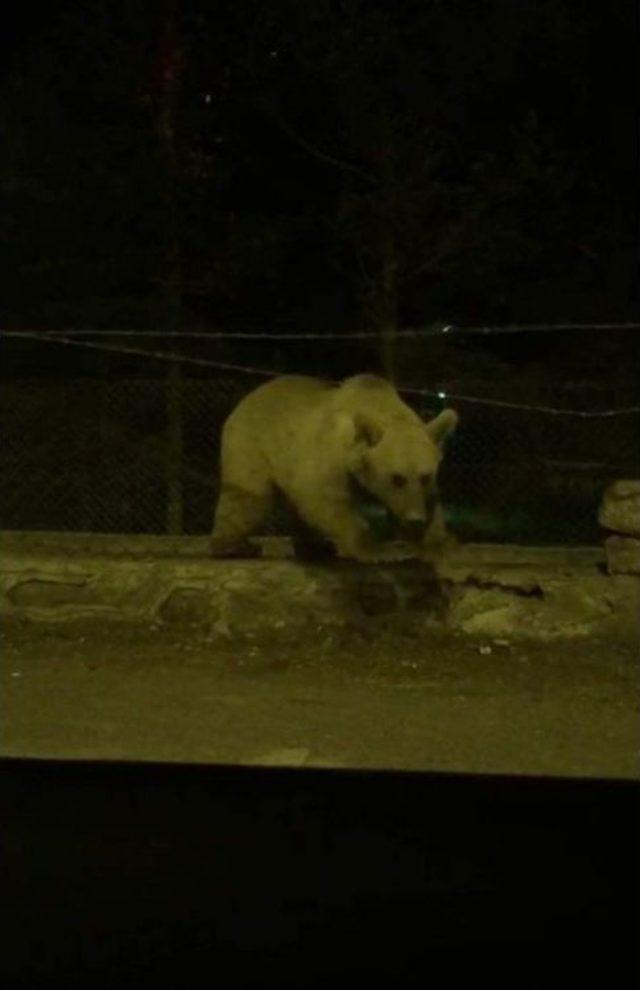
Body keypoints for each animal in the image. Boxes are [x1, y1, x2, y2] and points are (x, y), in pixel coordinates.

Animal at [212, 374, 458, 560]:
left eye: (425, 476)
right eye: (397, 478)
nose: (415, 519)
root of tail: (251, 395)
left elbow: (432, 501)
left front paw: (435, 542)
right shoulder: (331, 454)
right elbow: (324, 498)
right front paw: (377, 548)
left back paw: (313, 547)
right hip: (253, 443)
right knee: (248, 497)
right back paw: (234, 546)